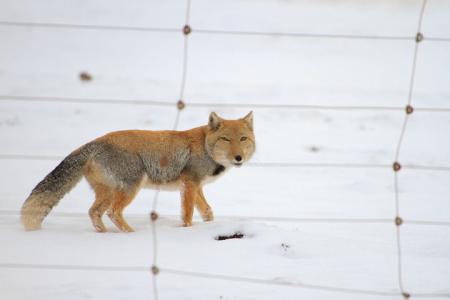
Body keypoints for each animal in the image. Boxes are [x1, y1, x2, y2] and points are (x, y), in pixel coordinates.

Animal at [21, 111, 255, 231]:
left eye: (243, 139)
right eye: (226, 139)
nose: (238, 158)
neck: (205, 147)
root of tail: (94, 142)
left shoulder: (195, 186)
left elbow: (207, 211)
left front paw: (209, 226)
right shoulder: (190, 184)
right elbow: (188, 214)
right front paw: (188, 230)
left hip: (108, 192)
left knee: (94, 212)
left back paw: (104, 233)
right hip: (130, 187)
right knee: (113, 212)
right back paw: (131, 235)